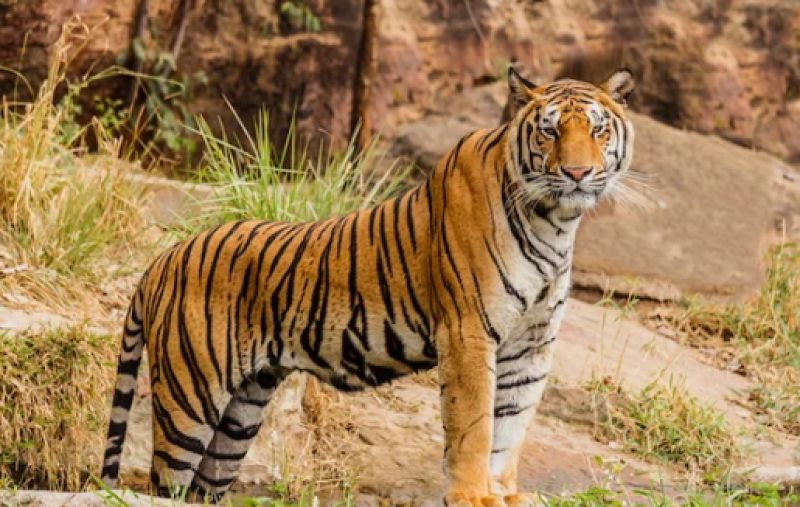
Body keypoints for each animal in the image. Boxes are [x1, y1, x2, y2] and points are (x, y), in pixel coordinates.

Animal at [101, 67, 635, 506]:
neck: (555, 222)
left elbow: (511, 429)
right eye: (550, 130)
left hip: (241, 412)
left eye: (597, 128)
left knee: (201, 488)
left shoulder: (531, 345)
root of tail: (162, 258)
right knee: (164, 483)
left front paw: (501, 494)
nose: (577, 173)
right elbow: (476, 426)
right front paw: (471, 495)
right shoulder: (468, 333)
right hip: (189, 398)